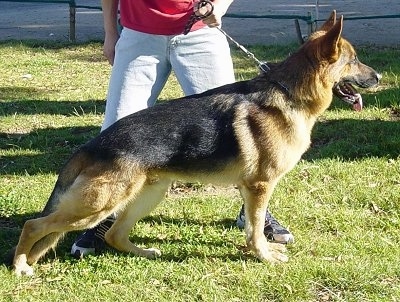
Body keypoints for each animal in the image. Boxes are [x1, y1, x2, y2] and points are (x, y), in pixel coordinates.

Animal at [12, 12, 380, 276]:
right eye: (354, 60)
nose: (379, 77)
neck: (290, 94)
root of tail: (93, 144)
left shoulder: (251, 189)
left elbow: (254, 225)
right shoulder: (260, 186)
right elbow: (255, 229)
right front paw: (263, 256)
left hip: (149, 193)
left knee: (115, 235)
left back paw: (145, 252)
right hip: (98, 205)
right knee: (34, 225)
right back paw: (20, 266)